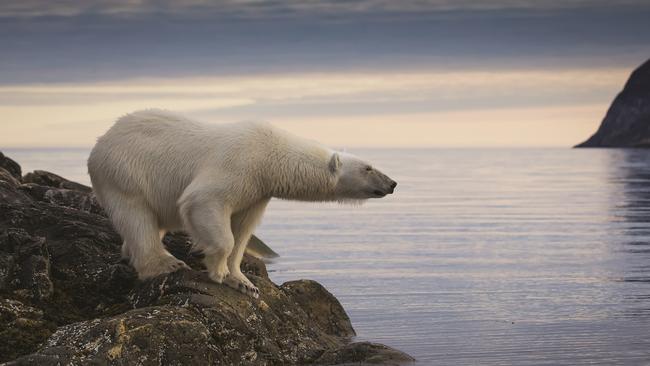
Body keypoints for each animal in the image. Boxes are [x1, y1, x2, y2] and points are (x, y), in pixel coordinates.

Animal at [87, 108, 394, 298]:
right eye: (368, 168)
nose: (392, 183)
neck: (271, 157)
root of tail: (100, 142)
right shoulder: (239, 165)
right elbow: (205, 201)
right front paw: (217, 269)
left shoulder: (257, 190)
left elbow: (243, 228)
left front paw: (244, 283)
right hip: (125, 172)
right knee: (136, 217)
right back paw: (165, 263)